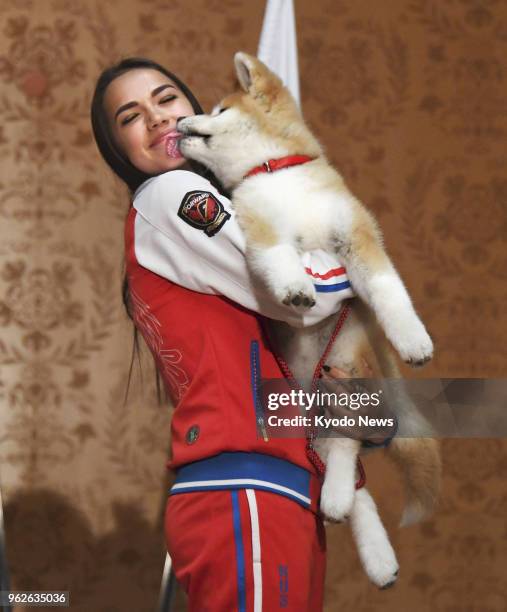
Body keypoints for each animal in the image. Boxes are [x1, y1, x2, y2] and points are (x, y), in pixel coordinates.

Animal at [178, 55, 440, 592]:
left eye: (218, 110)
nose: (180, 122)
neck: (276, 173)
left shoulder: (355, 233)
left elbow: (387, 289)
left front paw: (413, 340)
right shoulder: (258, 225)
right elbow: (281, 258)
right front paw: (297, 289)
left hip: (345, 362)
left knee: (345, 447)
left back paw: (354, 521)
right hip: (304, 397)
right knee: (345, 468)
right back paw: (366, 539)